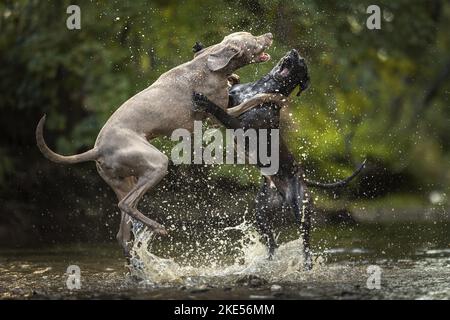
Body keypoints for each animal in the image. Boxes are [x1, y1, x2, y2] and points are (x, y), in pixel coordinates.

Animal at [192, 48, 364, 270]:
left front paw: (205, 100)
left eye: (301, 62)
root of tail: (299, 179)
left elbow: (220, 110)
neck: (262, 87)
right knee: (272, 243)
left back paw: (306, 264)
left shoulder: (240, 124)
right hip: (261, 213)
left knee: (306, 243)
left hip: (300, 208)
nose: (294, 51)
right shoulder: (232, 99)